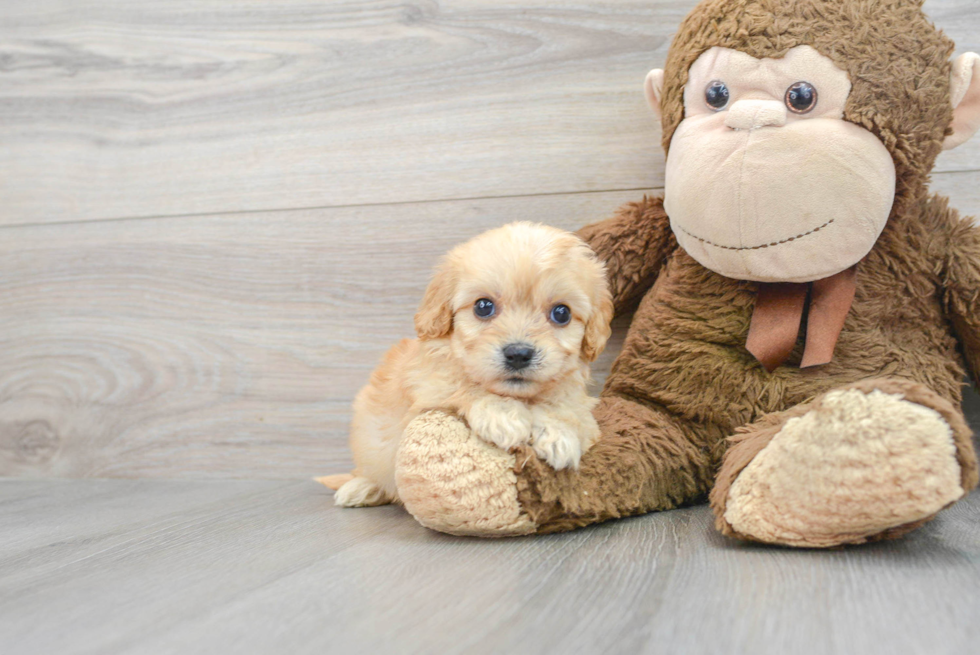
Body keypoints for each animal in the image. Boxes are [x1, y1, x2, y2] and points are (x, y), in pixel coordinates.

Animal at [322, 220, 612, 508]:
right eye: (483, 306)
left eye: (561, 313)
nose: (518, 354)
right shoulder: (426, 387)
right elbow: (463, 384)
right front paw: (502, 414)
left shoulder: (582, 408)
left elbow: (566, 406)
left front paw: (558, 433)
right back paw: (361, 487)